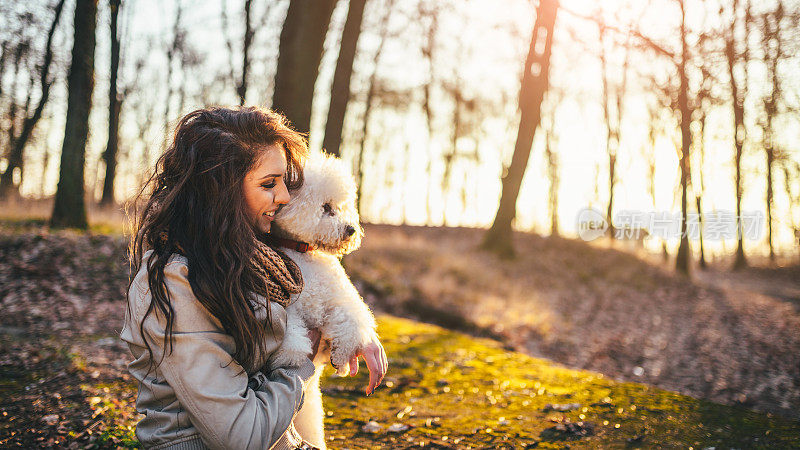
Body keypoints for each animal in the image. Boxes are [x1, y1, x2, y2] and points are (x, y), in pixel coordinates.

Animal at [270, 153, 380, 448]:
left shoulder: (340, 299)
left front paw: (342, 355)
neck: (305, 254)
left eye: (342, 207)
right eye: (327, 208)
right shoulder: (290, 306)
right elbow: (291, 328)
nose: (351, 229)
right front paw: (292, 354)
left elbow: (351, 321)